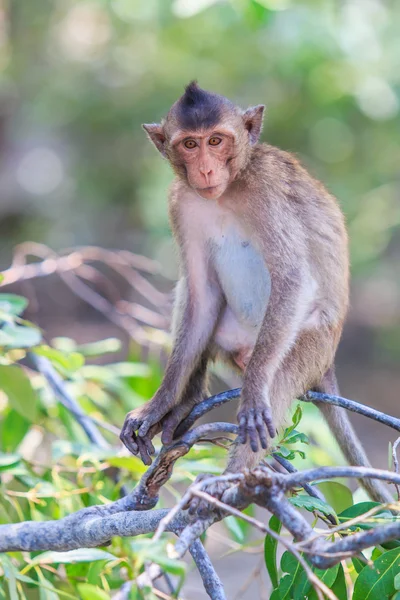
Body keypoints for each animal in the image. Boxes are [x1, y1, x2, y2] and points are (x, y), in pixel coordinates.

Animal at [119, 82, 394, 508]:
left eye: (216, 141)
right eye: (190, 145)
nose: (206, 169)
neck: (228, 188)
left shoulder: (264, 190)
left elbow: (293, 277)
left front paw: (249, 398)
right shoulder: (180, 202)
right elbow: (201, 294)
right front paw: (160, 404)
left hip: (310, 345)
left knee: (278, 379)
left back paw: (228, 482)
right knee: (194, 298)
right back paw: (187, 400)